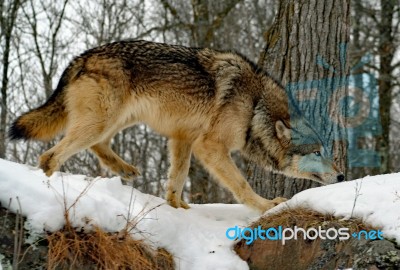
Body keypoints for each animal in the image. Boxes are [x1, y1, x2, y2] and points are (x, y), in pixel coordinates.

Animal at [9, 40, 344, 213]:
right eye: (318, 152)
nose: (342, 176)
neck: (255, 106)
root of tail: (81, 56)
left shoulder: (183, 138)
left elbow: (177, 178)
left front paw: (178, 207)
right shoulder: (209, 146)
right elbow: (241, 185)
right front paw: (265, 206)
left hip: (116, 120)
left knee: (97, 146)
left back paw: (125, 170)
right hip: (101, 121)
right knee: (50, 156)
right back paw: (49, 188)